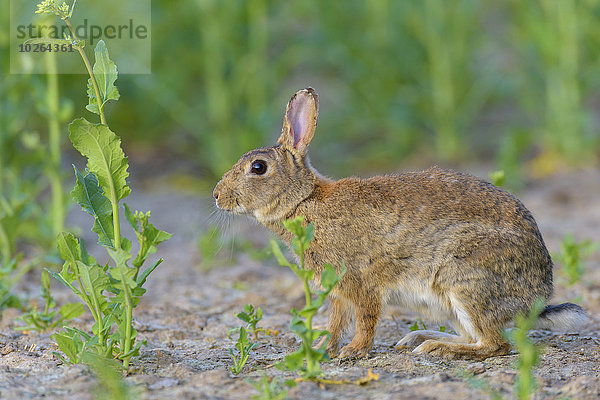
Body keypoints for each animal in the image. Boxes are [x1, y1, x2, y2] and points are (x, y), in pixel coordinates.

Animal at [213, 86, 588, 360]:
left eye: (258, 168)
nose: (217, 195)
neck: (305, 202)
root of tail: (537, 297)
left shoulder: (360, 281)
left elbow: (365, 320)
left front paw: (352, 352)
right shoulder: (337, 291)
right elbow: (335, 323)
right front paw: (320, 350)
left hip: (465, 280)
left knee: (496, 344)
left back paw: (435, 347)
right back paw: (419, 337)